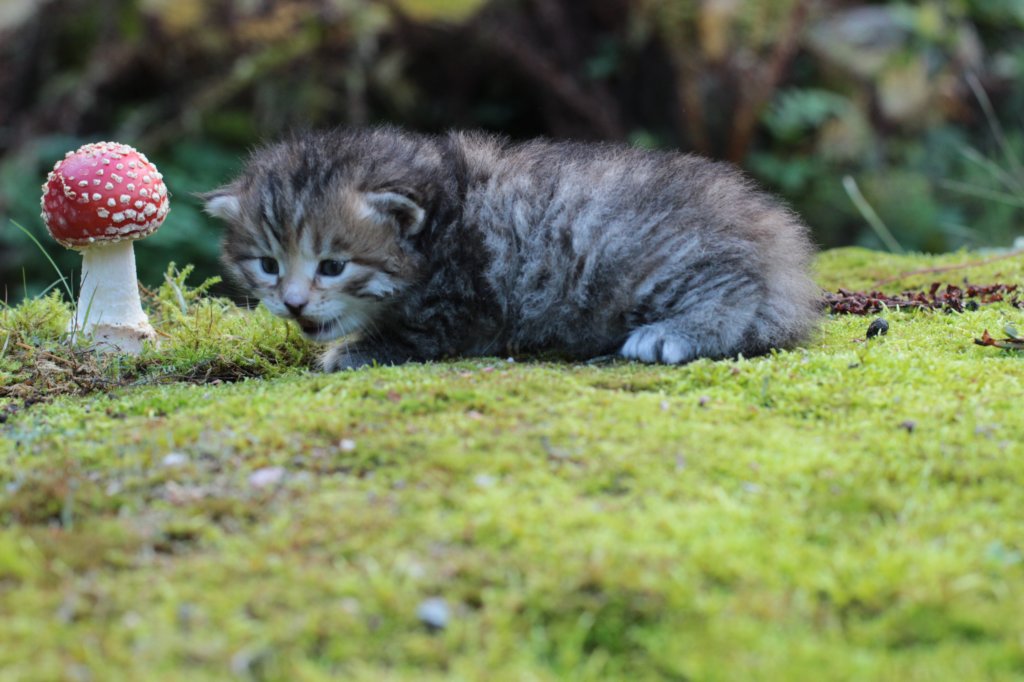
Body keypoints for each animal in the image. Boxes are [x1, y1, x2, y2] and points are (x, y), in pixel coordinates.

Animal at [203, 126, 820, 371]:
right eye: (268, 265)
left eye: (332, 266)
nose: (293, 303)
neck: (443, 210)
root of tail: (772, 235)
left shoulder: (460, 306)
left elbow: (416, 336)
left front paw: (351, 352)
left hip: (643, 257)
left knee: (734, 291)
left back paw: (670, 334)